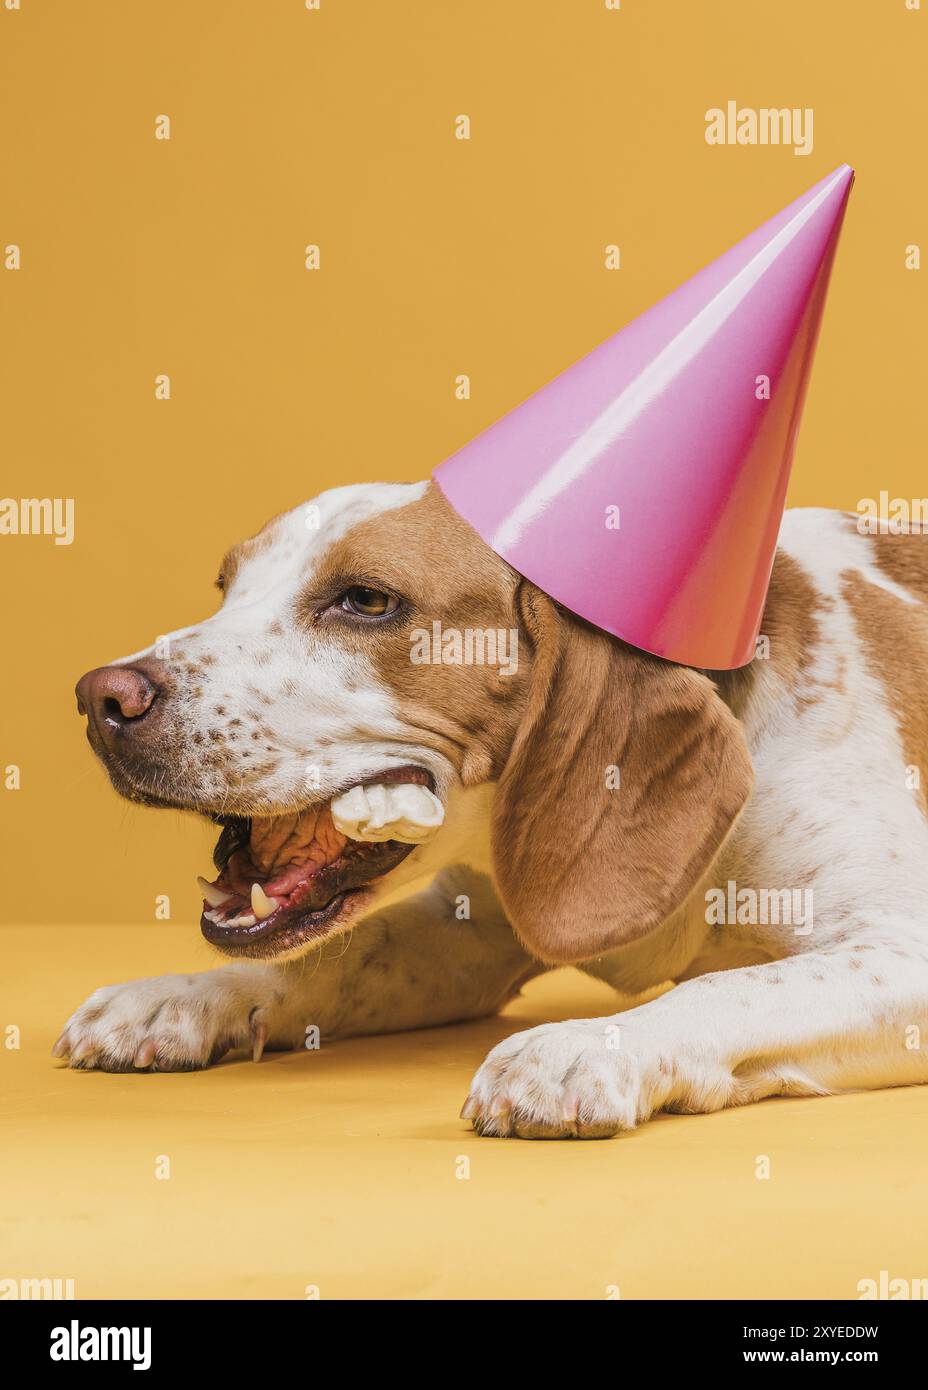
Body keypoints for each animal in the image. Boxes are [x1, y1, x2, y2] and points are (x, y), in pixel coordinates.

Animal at [59, 483, 928, 1134]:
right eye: (226, 587)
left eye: (365, 600)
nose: (101, 699)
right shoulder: (465, 934)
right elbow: (324, 964)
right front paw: (180, 997)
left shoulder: (900, 949)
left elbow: (724, 988)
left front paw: (586, 1045)